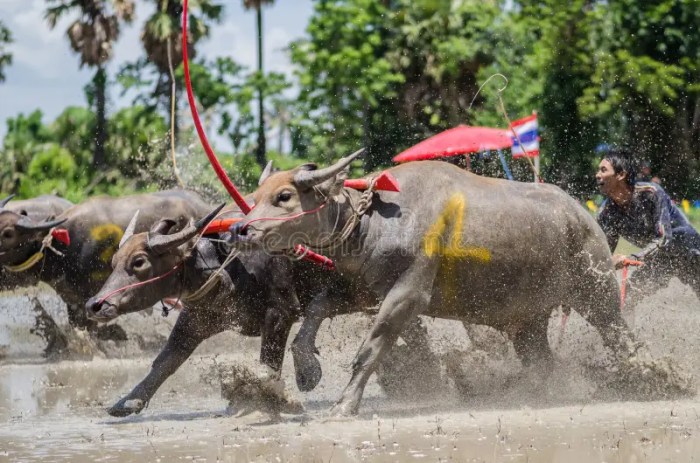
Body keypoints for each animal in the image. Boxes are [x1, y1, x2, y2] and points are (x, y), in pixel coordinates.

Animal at [231, 156, 684, 416]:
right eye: (258, 194)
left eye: (284, 196)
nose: (240, 229)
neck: (376, 217)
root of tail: (584, 216)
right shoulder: (362, 290)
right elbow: (313, 314)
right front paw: (307, 370)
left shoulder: (408, 296)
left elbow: (370, 349)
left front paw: (344, 405)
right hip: (528, 322)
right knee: (541, 360)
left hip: (596, 293)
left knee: (621, 336)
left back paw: (657, 377)